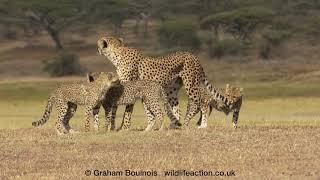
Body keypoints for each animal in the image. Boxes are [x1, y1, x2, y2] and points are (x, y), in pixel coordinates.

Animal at [97, 36, 238, 129]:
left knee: (202, 104)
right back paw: (174, 125)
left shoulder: (129, 87)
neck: (116, 53)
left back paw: (202, 125)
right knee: (178, 109)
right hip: (172, 90)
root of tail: (193, 55)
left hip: (191, 84)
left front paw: (124, 127)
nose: (97, 48)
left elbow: (128, 110)